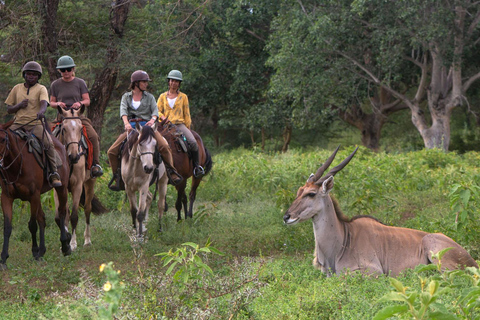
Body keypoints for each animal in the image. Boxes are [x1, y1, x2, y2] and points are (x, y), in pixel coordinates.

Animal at [0, 120, 71, 270]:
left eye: (3, 139)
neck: (17, 164)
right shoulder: (6, 197)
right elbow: (7, 227)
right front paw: (3, 258)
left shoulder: (34, 195)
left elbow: (32, 225)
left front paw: (34, 251)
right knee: (42, 219)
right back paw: (42, 250)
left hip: (61, 188)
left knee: (61, 213)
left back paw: (65, 245)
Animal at [55, 107, 108, 250]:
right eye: (64, 129)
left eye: (80, 129)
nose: (74, 156)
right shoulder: (57, 187)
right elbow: (61, 216)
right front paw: (64, 242)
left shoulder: (77, 186)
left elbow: (74, 216)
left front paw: (73, 244)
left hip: (90, 182)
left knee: (87, 209)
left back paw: (87, 240)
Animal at [284, 147, 478, 276]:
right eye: (299, 191)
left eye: (311, 194)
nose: (287, 217)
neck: (344, 238)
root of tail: (471, 260)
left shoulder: (373, 272)